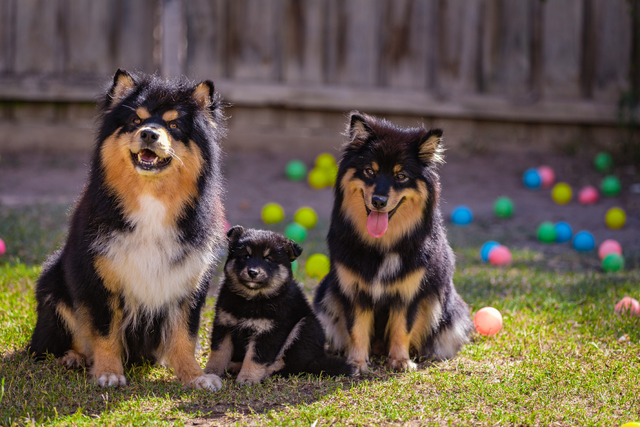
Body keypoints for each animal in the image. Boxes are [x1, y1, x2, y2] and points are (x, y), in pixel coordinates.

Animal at [28, 70, 228, 392]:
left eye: (174, 125)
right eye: (136, 120)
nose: (149, 134)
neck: (151, 200)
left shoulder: (189, 280)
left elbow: (184, 335)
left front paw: (194, 376)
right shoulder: (99, 278)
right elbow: (105, 331)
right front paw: (108, 373)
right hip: (52, 282)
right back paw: (73, 357)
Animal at [206, 227, 352, 384]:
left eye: (268, 259)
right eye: (246, 256)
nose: (252, 272)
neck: (251, 299)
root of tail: (316, 359)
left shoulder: (269, 332)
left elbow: (255, 357)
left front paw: (248, 378)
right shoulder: (223, 324)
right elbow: (219, 351)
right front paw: (211, 372)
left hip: (306, 327)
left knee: (291, 366)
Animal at [312, 112, 472, 372]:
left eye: (401, 176)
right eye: (370, 171)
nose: (378, 201)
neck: (382, 245)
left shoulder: (408, 293)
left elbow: (401, 328)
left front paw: (400, 361)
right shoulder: (354, 292)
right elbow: (357, 329)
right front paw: (357, 363)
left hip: (451, 314)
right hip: (325, 296)